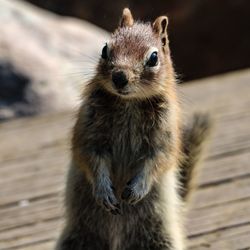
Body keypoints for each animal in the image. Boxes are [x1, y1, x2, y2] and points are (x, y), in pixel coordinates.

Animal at [55, 7, 212, 250]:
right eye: (105, 49)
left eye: (154, 58)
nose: (119, 77)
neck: (129, 103)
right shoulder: (88, 130)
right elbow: (89, 155)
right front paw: (104, 191)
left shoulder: (165, 136)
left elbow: (158, 159)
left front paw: (137, 189)